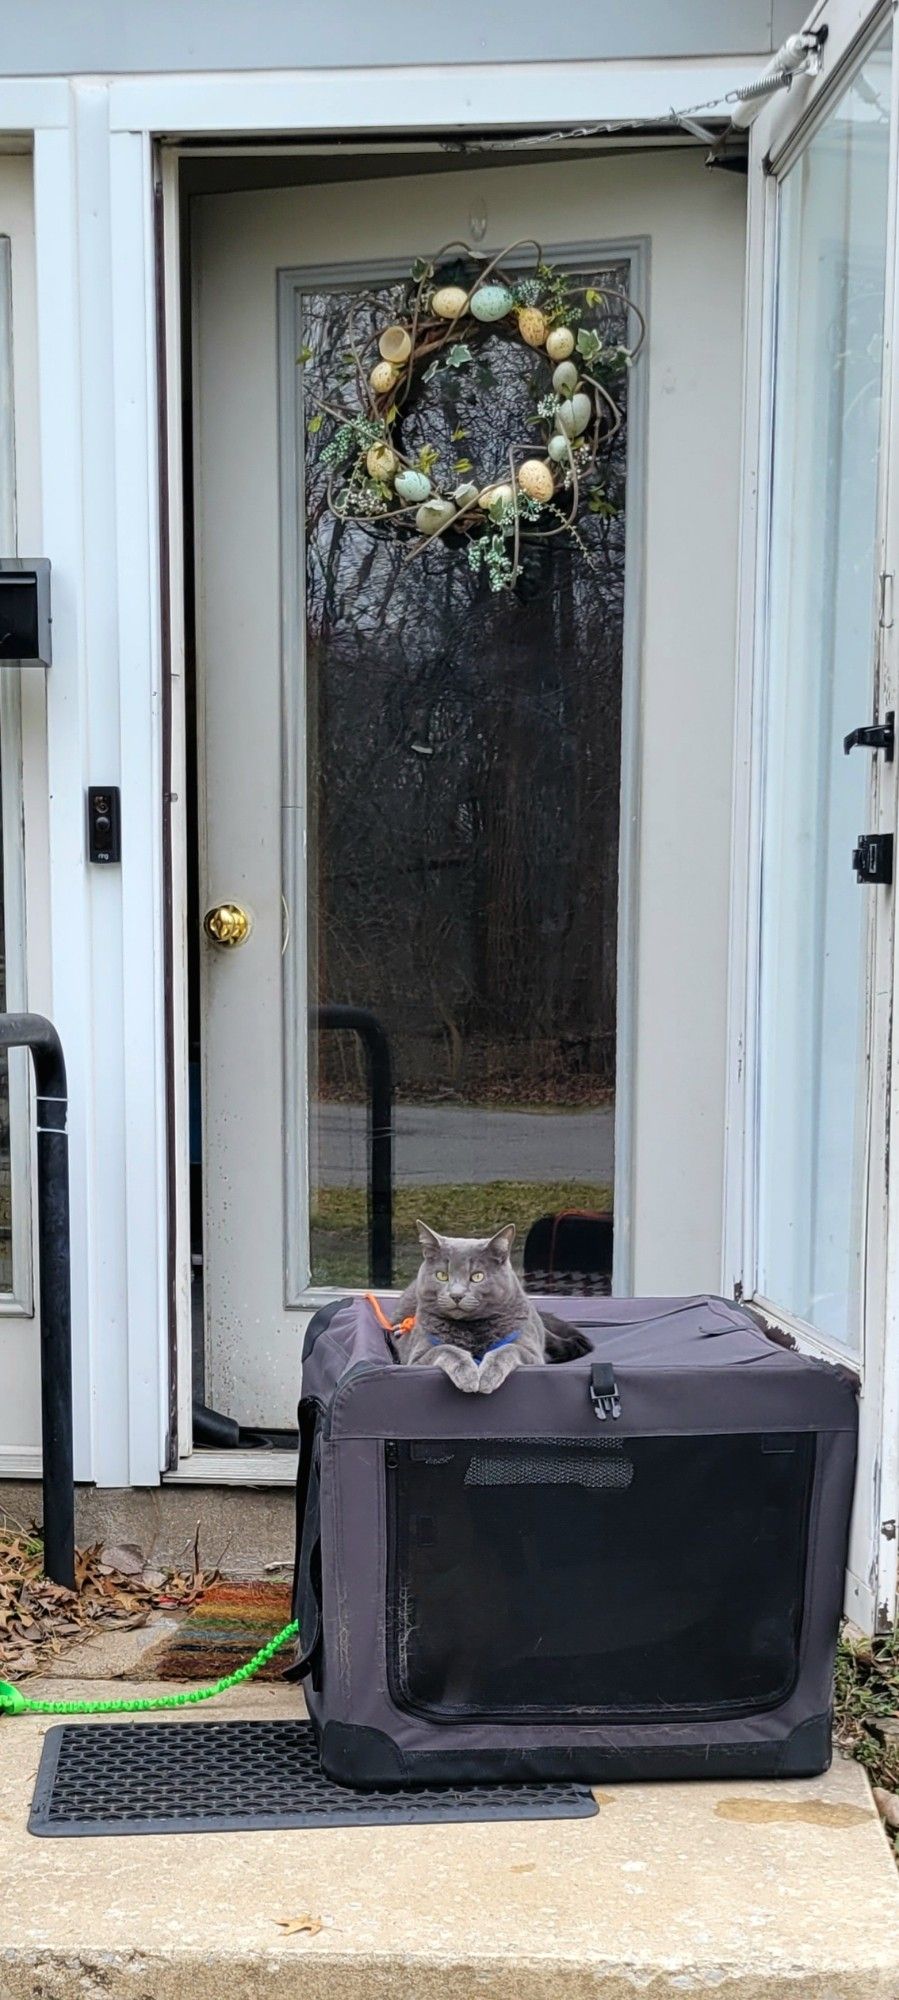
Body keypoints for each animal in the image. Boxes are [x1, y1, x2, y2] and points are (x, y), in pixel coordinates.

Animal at [393, 1216, 591, 1392]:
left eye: (477, 1277)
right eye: (442, 1275)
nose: (456, 1295)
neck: (473, 1330)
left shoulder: (532, 1354)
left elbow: (508, 1348)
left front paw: (489, 1375)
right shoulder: (416, 1359)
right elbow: (446, 1348)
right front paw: (467, 1373)